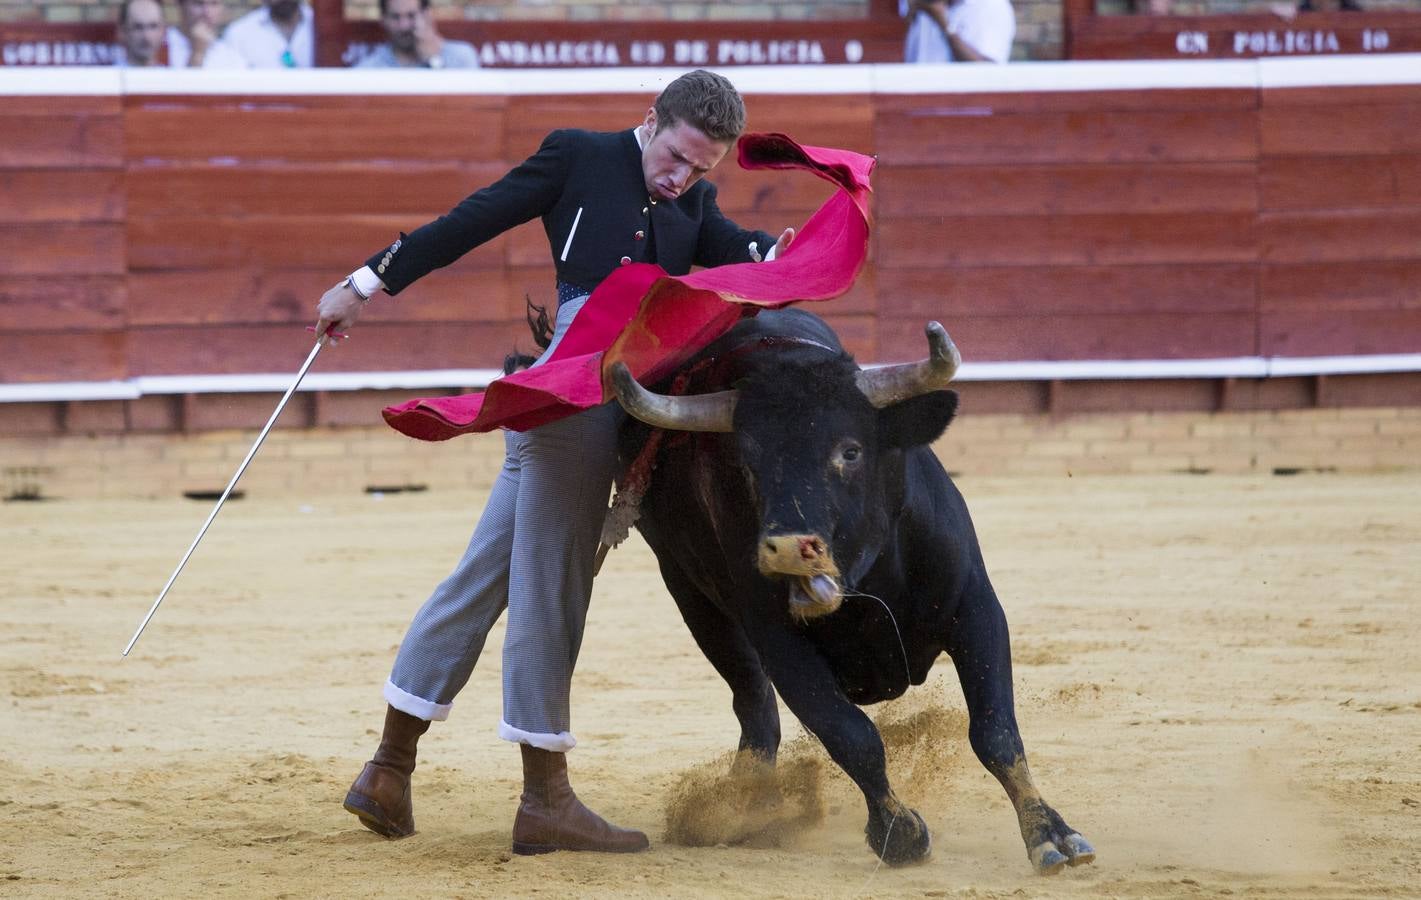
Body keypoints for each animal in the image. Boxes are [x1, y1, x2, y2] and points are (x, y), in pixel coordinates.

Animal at [613, 307, 1097, 870]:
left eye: (850, 450)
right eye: (749, 465)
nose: (787, 547)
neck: (868, 577)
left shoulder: (976, 607)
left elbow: (995, 730)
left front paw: (1051, 834)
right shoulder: (780, 643)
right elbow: (850, 734)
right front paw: (899, 832)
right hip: (689, 594)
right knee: (754, 703)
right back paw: (748, 808)